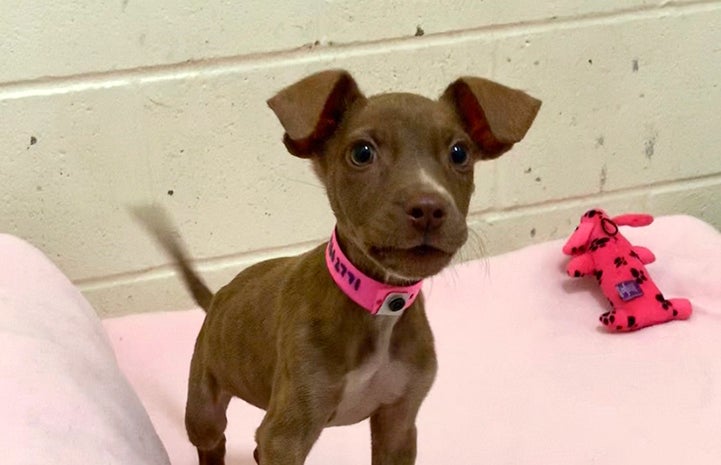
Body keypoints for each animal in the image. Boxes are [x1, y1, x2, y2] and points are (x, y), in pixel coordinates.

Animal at [143, 70, 536, 464]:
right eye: (362, 153)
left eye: (460, 153)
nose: (429, 207)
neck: (380, 305)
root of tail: (217, 299)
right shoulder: (287, 434)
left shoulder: (399, 425)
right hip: (204, 408)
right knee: (212, 442)